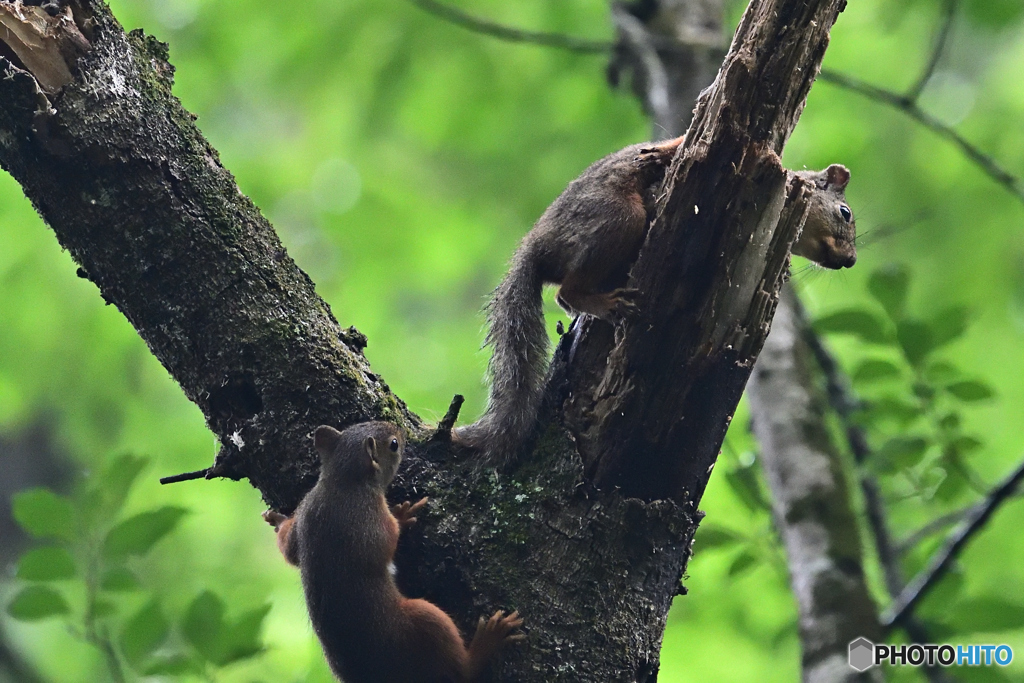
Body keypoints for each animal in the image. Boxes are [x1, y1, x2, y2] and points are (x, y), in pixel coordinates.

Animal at [264, 421, 524, 683]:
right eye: (394, 444)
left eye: (355, 425)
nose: (397, 427)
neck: (343, 481)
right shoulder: (374, 521)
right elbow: (388, 542)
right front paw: (402, 514)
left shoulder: (307, 510)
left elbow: (290, 550)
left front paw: (279, 520)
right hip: (424, 619)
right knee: (461, 672)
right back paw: (488, 641)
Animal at [456, 135, 856, 462]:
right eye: (845, 213)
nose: (850, 260)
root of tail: (537, 247)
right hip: (618, 217)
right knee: (567, 293)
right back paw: (606, 304)